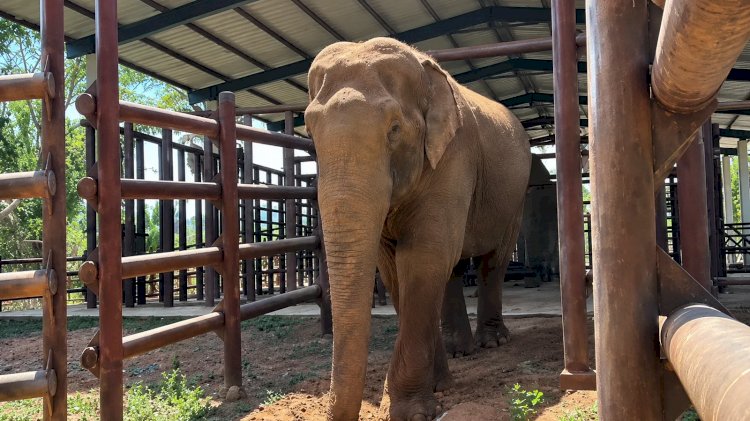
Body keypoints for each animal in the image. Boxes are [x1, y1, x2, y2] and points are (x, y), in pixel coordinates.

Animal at [305, 37, 531, 420]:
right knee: (452, 270)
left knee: (492, 262)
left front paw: (412, 411)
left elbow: (423, 256)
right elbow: (396, 267)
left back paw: (494, 341)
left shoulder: (454, 155)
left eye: (395, 129)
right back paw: (459, 352)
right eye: (308, 130)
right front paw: (439, 388)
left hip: (514, 197)